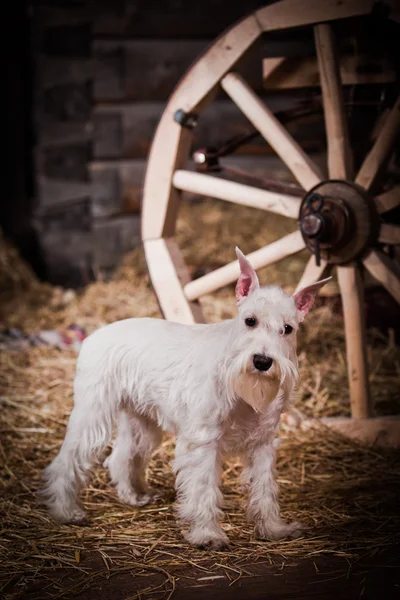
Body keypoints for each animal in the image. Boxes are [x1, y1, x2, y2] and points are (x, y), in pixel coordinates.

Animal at [40, 247, 330, 548]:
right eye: (250, 320)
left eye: (288, 329)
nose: (262, 361)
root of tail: (94, 336)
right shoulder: (203, 443)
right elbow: (203, 490)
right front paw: (208, 534)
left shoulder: (262, 444)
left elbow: (265, 489)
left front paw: (274, 529)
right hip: (93, 418)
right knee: (65, 462)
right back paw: (66, 511)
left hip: (141, 424)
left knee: (121, 457)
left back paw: (134, 496)